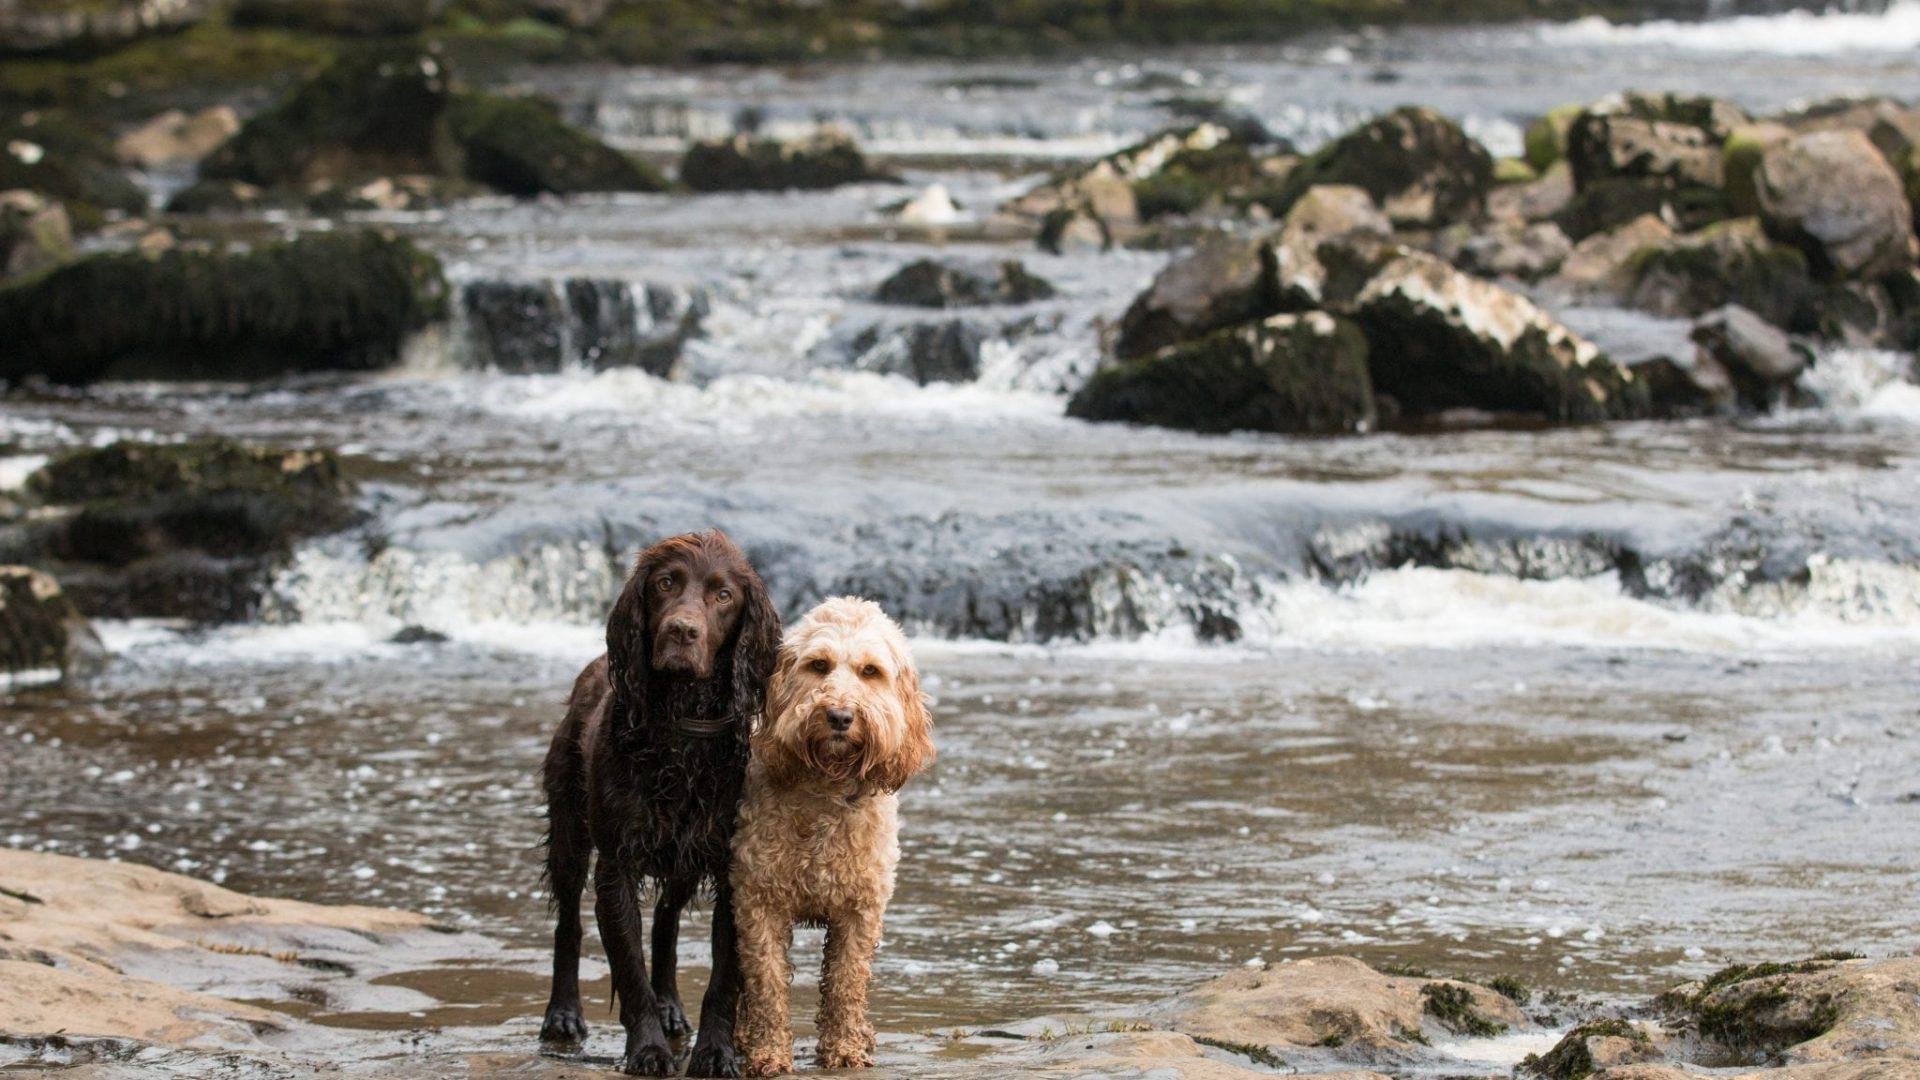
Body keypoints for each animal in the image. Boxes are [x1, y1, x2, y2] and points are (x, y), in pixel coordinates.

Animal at [537, 526, 775, 1068]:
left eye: (723, 595)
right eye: (666, 583)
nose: (682, 631)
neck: (681, 731)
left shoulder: (730, 866)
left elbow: (722, 980)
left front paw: (715, 1052)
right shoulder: (616, 868)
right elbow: (630, 971)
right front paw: (647, 1049)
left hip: (682, 860)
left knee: (666, 923)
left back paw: (670, 1006)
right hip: (569, 830)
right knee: (568, 923)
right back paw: (562, 1014)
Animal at [729, 591, 933, 1068]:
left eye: (870, 671)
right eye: (818, 665)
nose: (840, 715)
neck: (826, 784)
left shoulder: (861, 911)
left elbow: (846, 981)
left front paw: (843, 1048)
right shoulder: (757, 902)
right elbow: (766, 983)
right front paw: (768, 1052)